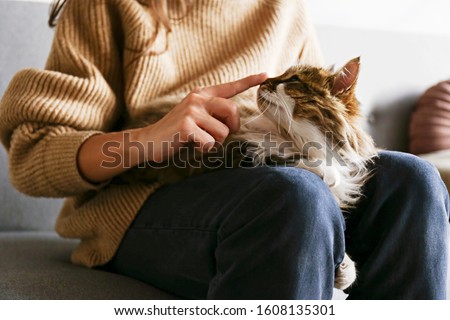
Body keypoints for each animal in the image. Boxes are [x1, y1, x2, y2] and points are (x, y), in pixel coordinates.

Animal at [121, 57, 378, 290]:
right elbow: (307, 165)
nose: (265, 80)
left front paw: (344, 270)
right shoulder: (235, 153)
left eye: (293, 80)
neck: (294, 138)